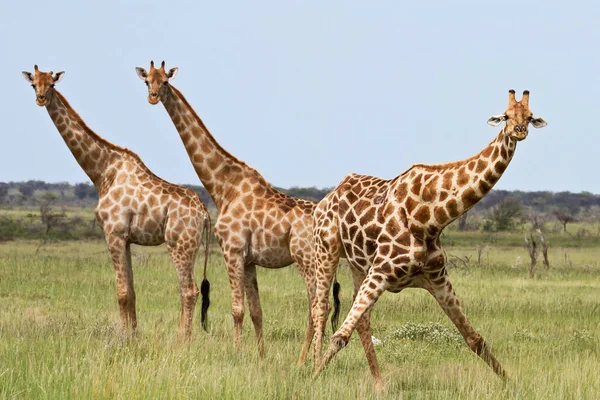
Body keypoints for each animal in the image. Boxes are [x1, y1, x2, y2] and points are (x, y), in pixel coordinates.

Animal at [21, 65, 213, 340]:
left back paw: (182, 341)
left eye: (52, 85)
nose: (40, 98)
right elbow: (131, 291)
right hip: (191, 246)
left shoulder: (113, 233)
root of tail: (205, 214)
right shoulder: (127, 238)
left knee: (189, 290)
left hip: (180, 244)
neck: (102, 171)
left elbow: (121, 292)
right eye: (34, 84)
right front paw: (133, 335)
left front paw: (122, 338)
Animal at [137, 60, 342, 362]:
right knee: (318, 307)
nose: (152, 97)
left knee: (319, 306)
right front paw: (261, 357)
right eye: (146, 80)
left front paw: (236, 354)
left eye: (164, 81)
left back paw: (306, 361)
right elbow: (256, 311)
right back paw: (306, 359)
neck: (224, 187)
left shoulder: (231, 251)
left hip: (307, 260)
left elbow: (237, 309)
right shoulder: (248, 260)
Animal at [312, 89, 548, 386]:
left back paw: (379, 384)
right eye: (505, 116)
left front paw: (511, 384)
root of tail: (326, 198)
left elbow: (475, 339)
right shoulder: (381, 271)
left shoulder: (437, 279)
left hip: (358, 265)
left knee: (362, 320)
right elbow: (339, 336)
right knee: (319, 310)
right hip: (326, 248)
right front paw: (309, 379)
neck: (430, 219)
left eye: (529, 116)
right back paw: (307, 365)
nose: (519, 131)